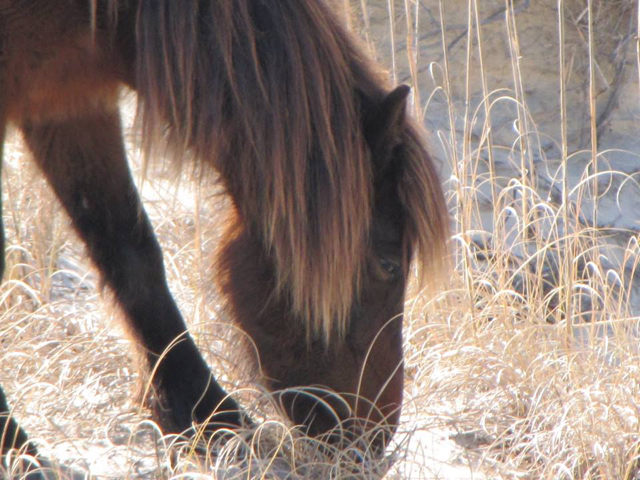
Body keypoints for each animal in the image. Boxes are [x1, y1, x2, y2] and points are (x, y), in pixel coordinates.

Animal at [0, 0, 448, 461]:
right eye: (388, 265)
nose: (371, 440)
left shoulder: (70, 101)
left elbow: (130, 250)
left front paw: (208, 415)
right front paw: (18, 450)